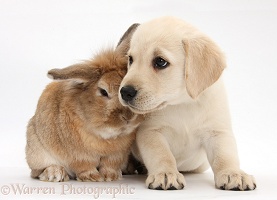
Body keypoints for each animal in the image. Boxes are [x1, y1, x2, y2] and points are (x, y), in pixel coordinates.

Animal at [25, 23, 142, 181]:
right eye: (103, 92)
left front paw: (111, 176)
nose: (128, 117)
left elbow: (110, 164)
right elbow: (84, 165)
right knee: (37, 172)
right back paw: (55, 174)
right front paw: (92, 177)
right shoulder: (79, 154)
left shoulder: (117, 154)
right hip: (37, 151)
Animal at [118, 15, 254, 191]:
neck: (182, 103)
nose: (125, 92)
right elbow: (162, 154)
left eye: (160, 62)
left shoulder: (217, 131)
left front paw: (234, 173)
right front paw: (166, 173)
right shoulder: (150, 132)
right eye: (131, 59)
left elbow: (225, 156)